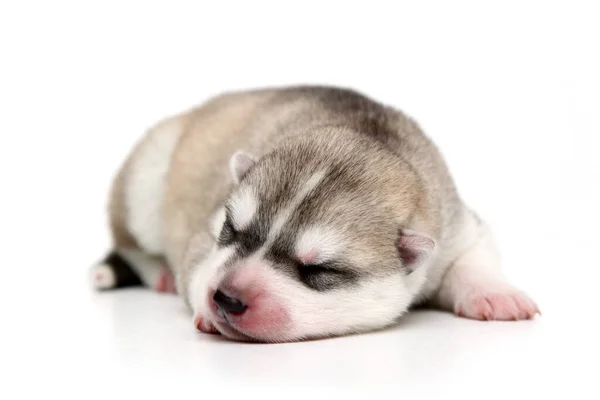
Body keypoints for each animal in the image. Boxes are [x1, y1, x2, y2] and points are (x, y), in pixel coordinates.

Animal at [91, 86, 540, 342]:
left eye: (318, 269)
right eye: (232, 231)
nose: (225, 297)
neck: (363, 136)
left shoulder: (455, 224)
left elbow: (475, 254)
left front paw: (495, 292)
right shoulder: (209, 223)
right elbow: (198, 257)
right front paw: (200, 300)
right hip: (145, 180)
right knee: (130, 241)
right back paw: (158, 272)